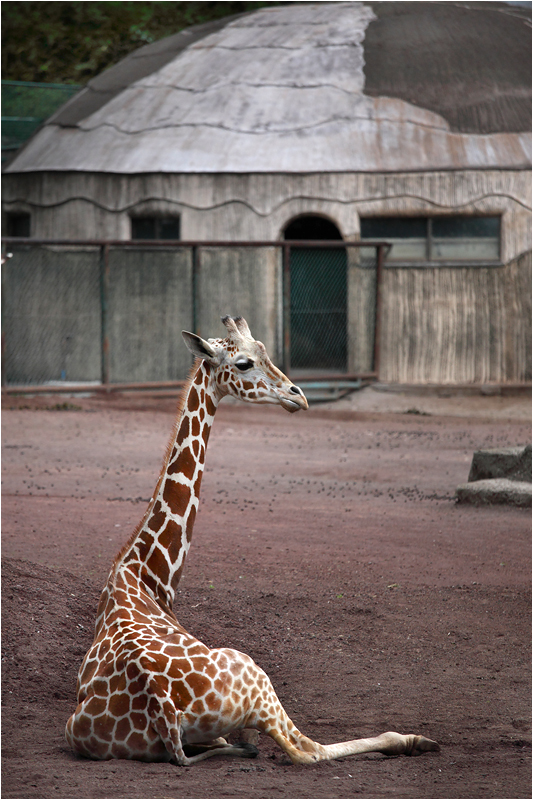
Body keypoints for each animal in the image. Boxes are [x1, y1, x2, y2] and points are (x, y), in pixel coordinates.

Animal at [64, 316, 436, 764]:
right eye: (243, 363)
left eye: (265, 351)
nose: (299, 397)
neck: (145, 574)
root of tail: (161, 703)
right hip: (255, 674)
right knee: (306, 750)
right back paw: (413, 738)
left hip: (81, 731)